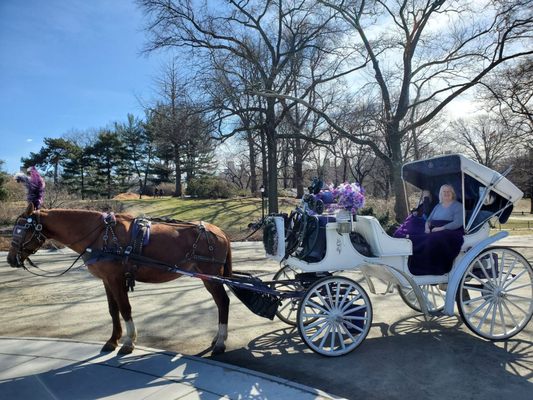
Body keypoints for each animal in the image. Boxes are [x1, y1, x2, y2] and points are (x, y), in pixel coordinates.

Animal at [5, 203, 231, 354]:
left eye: (21, 230)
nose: (10, 259)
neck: (100, 234)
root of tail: (219, 231)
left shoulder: (116, 278)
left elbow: (125, 308)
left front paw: (129, 341)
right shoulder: (107, 279)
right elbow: (113, 310)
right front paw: (113, 340)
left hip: (210, 277)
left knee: (223, 302)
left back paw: (220, 341)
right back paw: (216, 339)